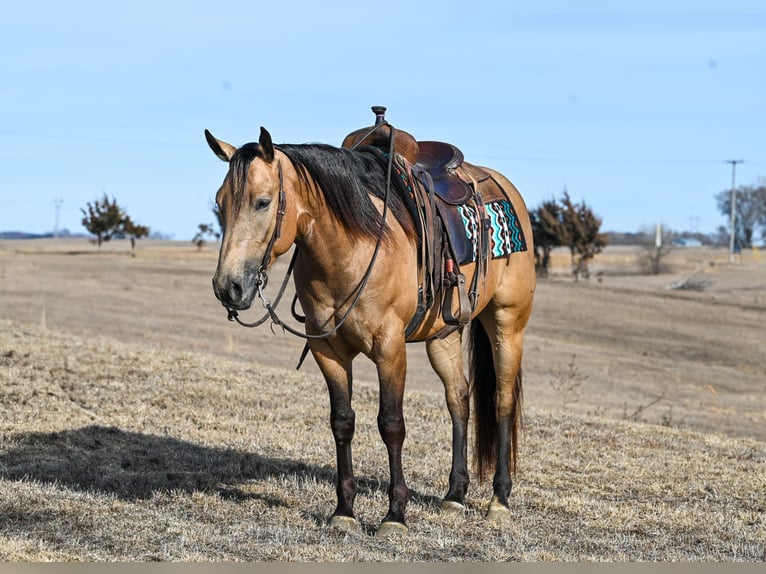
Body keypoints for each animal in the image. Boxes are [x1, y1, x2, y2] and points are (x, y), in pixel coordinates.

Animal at [207, 109, 536, 540]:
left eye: (262, 202)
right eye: (220, 203)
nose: (228, 286)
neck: (349, 248)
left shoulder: (389, 347)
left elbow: (391, 424)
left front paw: (394, 514)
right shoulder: (327, 350)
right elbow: (342, 422)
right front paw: (344, 510)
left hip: (506, 323)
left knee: (502, 402)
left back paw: (499, 500)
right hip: (443, 335)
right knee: (459, 400)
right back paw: (455, 495)